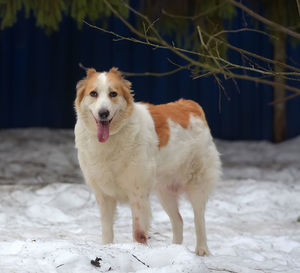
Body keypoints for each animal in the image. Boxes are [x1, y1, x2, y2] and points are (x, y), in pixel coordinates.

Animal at [74, 67, 221, 254]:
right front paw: (107, 249)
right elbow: (107, 231)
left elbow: (138, 233)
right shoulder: (103, 195)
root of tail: (190, 105)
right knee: (178, 220)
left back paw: (202, 250)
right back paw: (174, 249)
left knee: (199, 219)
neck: (112, 138)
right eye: (93, 93)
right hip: (164, 191)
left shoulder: (137, 193)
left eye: (113, 94)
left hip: (197, 185)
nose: (103, 113)